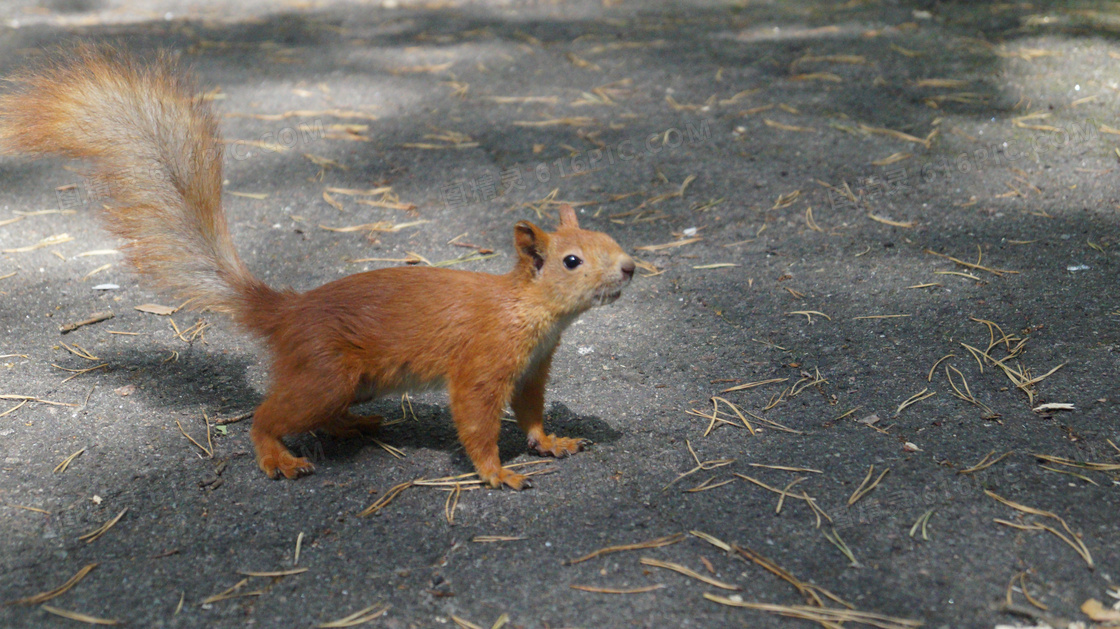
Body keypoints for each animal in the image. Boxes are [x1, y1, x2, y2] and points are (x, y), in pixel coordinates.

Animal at [0, 46, 636, 487]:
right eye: (572, 260)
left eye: (609, 237)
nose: (631, 268)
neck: (527, 309)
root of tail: (286, 313)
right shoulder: (483, 360)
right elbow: (477, 419)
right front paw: (496, 472)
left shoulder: (532, 367)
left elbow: (530, 412)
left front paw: (551, 442)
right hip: (328, 372)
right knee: (268, 415)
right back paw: (277, 455)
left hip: (352, 383)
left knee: (320, 415)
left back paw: (350, 426)